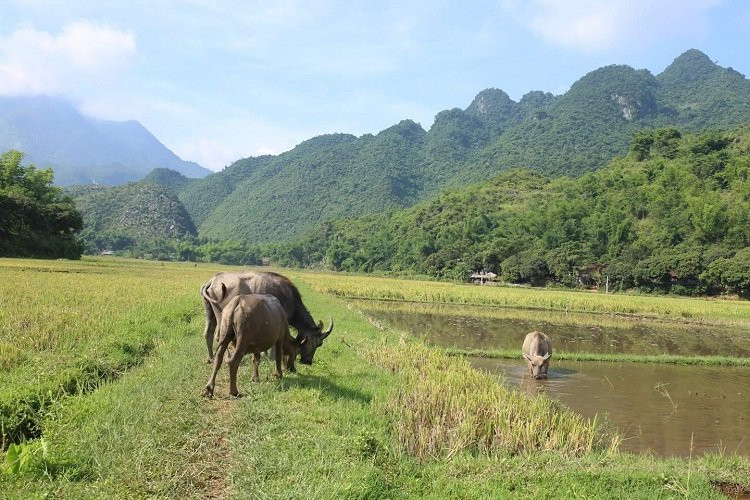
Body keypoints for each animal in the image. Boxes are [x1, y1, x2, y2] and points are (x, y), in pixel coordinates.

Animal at [200, 272, 332, 366]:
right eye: (318, 344)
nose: (308, 362)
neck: (290, 300)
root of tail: (212, 281)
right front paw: (272, 357)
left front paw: (264, 354)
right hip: (221, 315)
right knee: (219, 336)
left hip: (210, 311)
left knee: (208, 333)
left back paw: (210, 358)